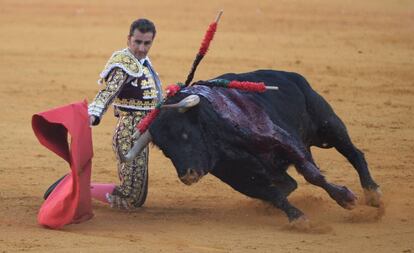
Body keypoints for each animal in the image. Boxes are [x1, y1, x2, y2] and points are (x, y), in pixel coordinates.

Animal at [132, 69, 382, 221]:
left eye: (185, 134)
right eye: (166, 151)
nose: (188, 175)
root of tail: (291, 75)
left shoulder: (285, 141)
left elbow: (313, 176)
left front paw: (345, 198)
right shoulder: (237, 176)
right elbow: (271, 193)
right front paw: (297, 217)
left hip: (327, 125)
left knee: (354, 153)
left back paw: (372, 193)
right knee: (289, 183)